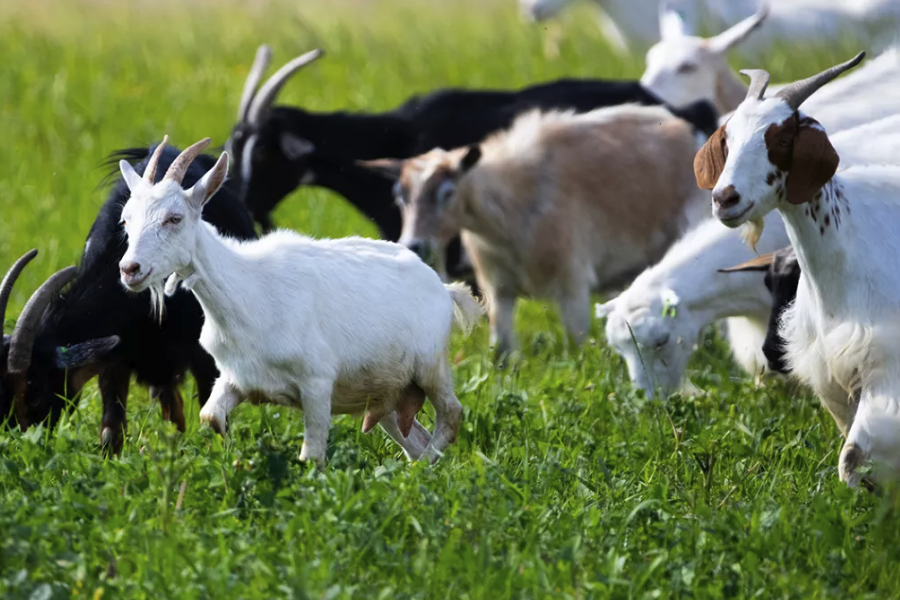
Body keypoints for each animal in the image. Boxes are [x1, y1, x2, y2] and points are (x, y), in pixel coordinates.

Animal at [0, 143, 256, 452]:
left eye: (35, 392)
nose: (21, 445)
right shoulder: (115, 358)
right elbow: (112, 430)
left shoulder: (205, 353)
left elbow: (213, 416)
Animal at [121, 136, 486, 464]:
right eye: (126, 219)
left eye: (174, 218)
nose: (129, 269)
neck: (246, 289)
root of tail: (443, 288)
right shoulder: (236, 377)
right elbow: (210, 417)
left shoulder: (317, 383)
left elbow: (312, 455)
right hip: (386, 393)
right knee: (413, 436)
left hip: (431, 366)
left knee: (452, 414)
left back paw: (423, 470)